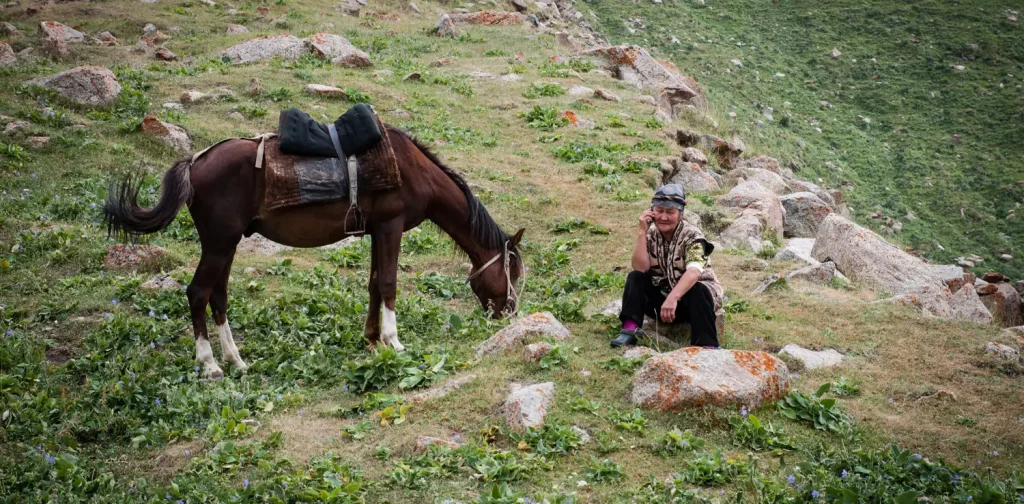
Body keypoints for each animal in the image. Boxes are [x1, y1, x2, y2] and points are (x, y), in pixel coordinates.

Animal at [103, 124, 524, 376]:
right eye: (513, 272)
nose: (509, 311)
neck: (411, 169)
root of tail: (195, 162)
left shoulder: (376, 231)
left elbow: (374, 284)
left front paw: (371, 340)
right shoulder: (390, 226)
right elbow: (388, 283)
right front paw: (393, 341)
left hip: (225, 244)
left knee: (217, 296)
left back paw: (236, 360)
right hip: (220, 243)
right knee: (197, 293)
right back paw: (210, 365)